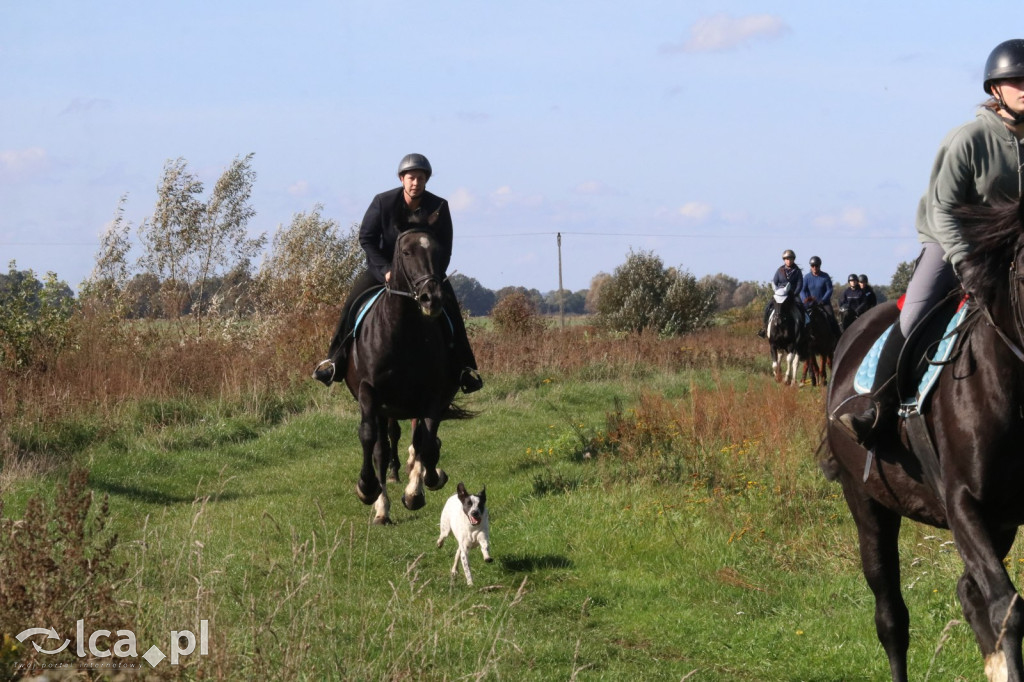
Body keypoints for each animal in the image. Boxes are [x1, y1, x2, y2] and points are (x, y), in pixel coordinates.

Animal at [346, 225, 468, 522]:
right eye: (406, 252)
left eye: (438, 251)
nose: (431, 297)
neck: (402, 332)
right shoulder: (370, 393)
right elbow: (369, 438)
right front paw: (367, 488)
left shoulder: (433, 395)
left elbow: (427, 443)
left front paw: (420, 489)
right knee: (382, 447)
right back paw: (382, 506)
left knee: (420, 441)